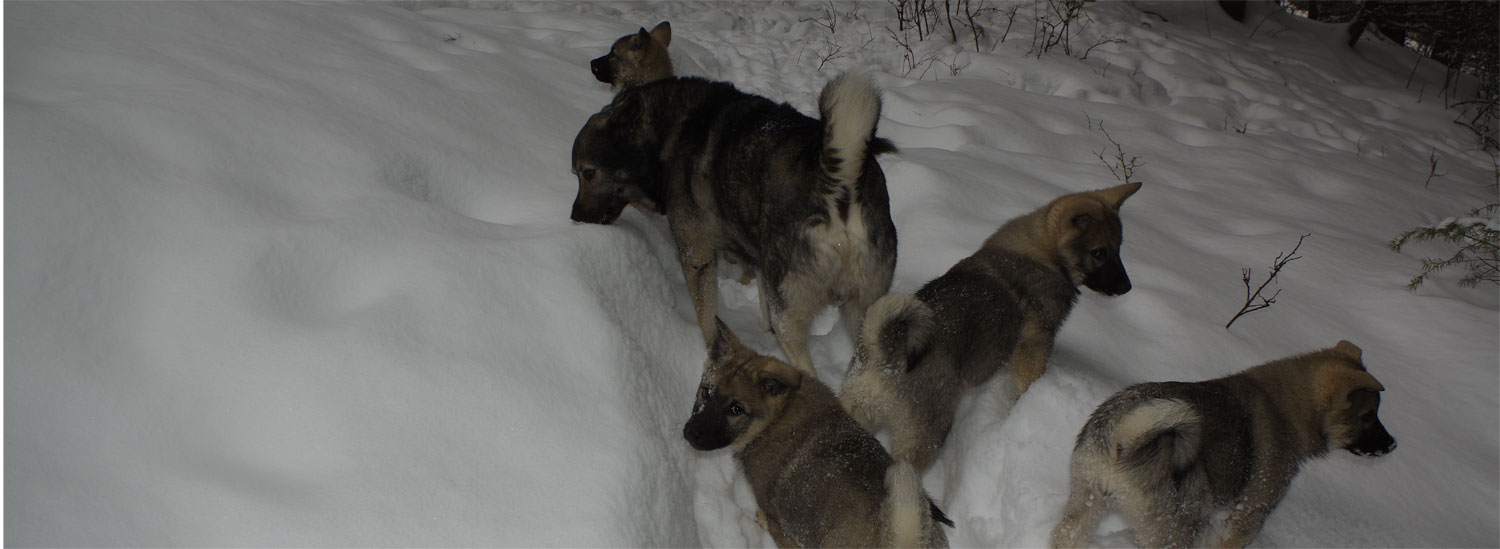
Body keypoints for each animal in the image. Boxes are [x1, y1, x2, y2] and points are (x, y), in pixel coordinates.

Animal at [840, 181, 1140, 471]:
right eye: (1098, 252)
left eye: (1119, 248)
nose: (1127, 288)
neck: (1043, 254)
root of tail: (884, 353)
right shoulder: (1034, 346)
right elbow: (1026, 383)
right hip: (926, 436)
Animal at [1050, 340, 1398, 546]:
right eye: (1368, 415)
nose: (1393, 445)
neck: (1287, 407)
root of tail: (1125, 433)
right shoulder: (1248, 515)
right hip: (1178, 527)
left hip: (1087, 500)